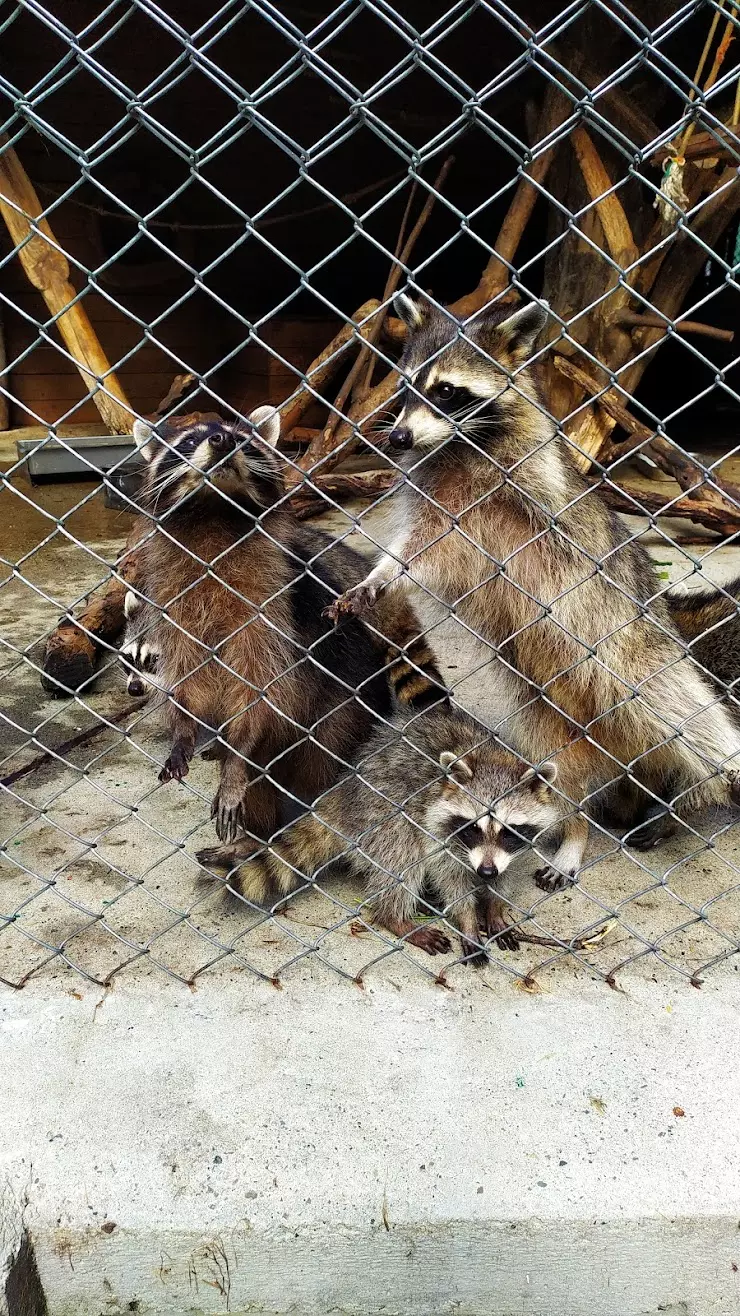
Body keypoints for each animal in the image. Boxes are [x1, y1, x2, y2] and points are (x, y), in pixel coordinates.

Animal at [125, 407, 442, 842]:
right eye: (189, 441)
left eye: (244, 440)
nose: (223, 440)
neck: (214, 514)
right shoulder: (177, 609)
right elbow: (189, 677)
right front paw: (183, 730)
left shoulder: (269, 611)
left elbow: (262, 689)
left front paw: (236, 759)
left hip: (341, 707)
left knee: (319, 757)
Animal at [197, 705, 558, 963]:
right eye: (472, 827)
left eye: (509, 831)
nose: (485, 871)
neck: (492, 757)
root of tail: (343, 795)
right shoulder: (436, 830)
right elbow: (449, 878)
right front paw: (468, 919)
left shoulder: (512, 850)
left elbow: (506, 873)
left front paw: (495, 907)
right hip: (382, 812)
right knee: (402, 858)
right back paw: (394, 917)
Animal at [329, 293, 740, 879]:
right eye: (406, 389)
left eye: (446, 391)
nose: (398, 437)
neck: (461, 448)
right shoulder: (442, 516)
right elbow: (418, 554)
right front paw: (379, 576)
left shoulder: (535, 484)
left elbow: (562, 534)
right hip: (544, 720)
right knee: (563, 786)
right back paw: (576, 832)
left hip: (633, 651)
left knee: (681, 705)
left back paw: (712, 770)